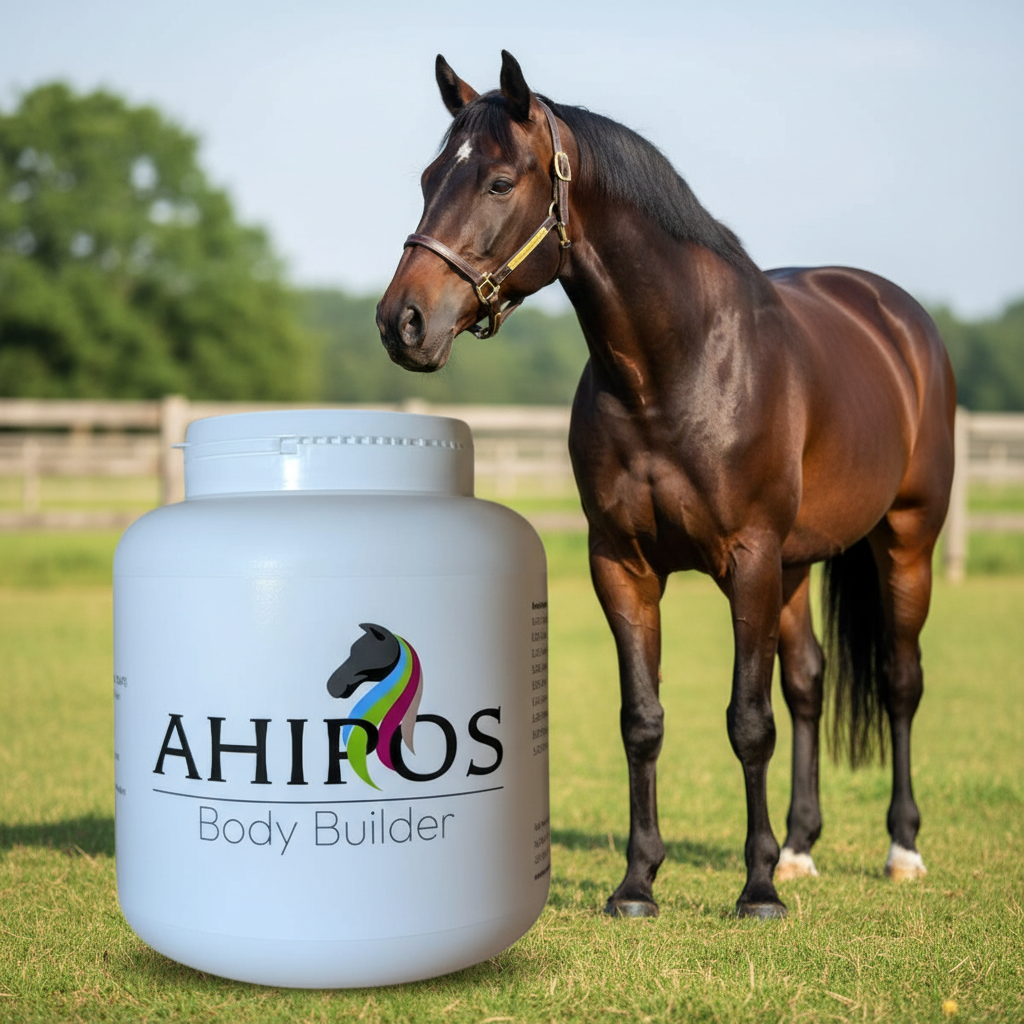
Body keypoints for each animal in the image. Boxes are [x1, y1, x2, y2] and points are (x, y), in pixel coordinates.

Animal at [376, 51, 956, 919]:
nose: (402, 321)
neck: (676, 366)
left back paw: (900, 850)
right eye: (425, 179)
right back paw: (800, 849)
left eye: (499, 183)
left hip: (904, 541)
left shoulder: (747, 560)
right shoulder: (623, 565)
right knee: (810, 683)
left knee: (898, 681)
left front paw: (756, 891)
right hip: (795, 565)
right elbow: (642, 719)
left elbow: (748, 721)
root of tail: (896, 315)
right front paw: (638, 883)